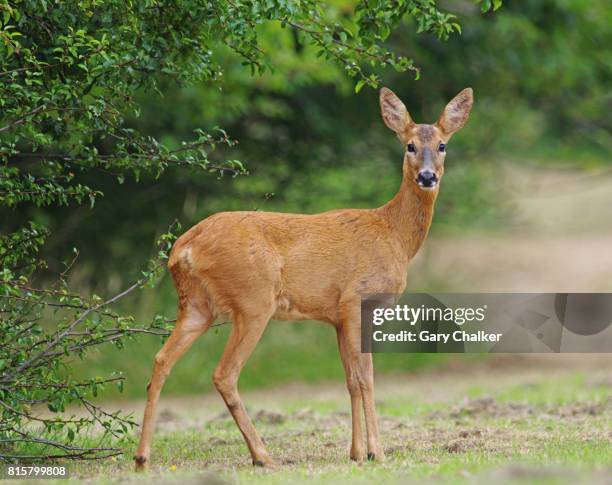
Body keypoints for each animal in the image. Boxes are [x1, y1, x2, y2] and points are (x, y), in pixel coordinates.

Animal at [135, 87, 474, 468]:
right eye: (410, 146)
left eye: (443, 145)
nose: (428, 177)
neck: (393, 234)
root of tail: (184, 248)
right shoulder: (358, 300)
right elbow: (367, 378)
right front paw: (377, 452)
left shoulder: (337, 316)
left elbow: (350, 380)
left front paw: (356, 453)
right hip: (253, 300)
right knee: (224, 373)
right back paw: (262, 455)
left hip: (196, 305)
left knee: (161, 360)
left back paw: (142, 457)